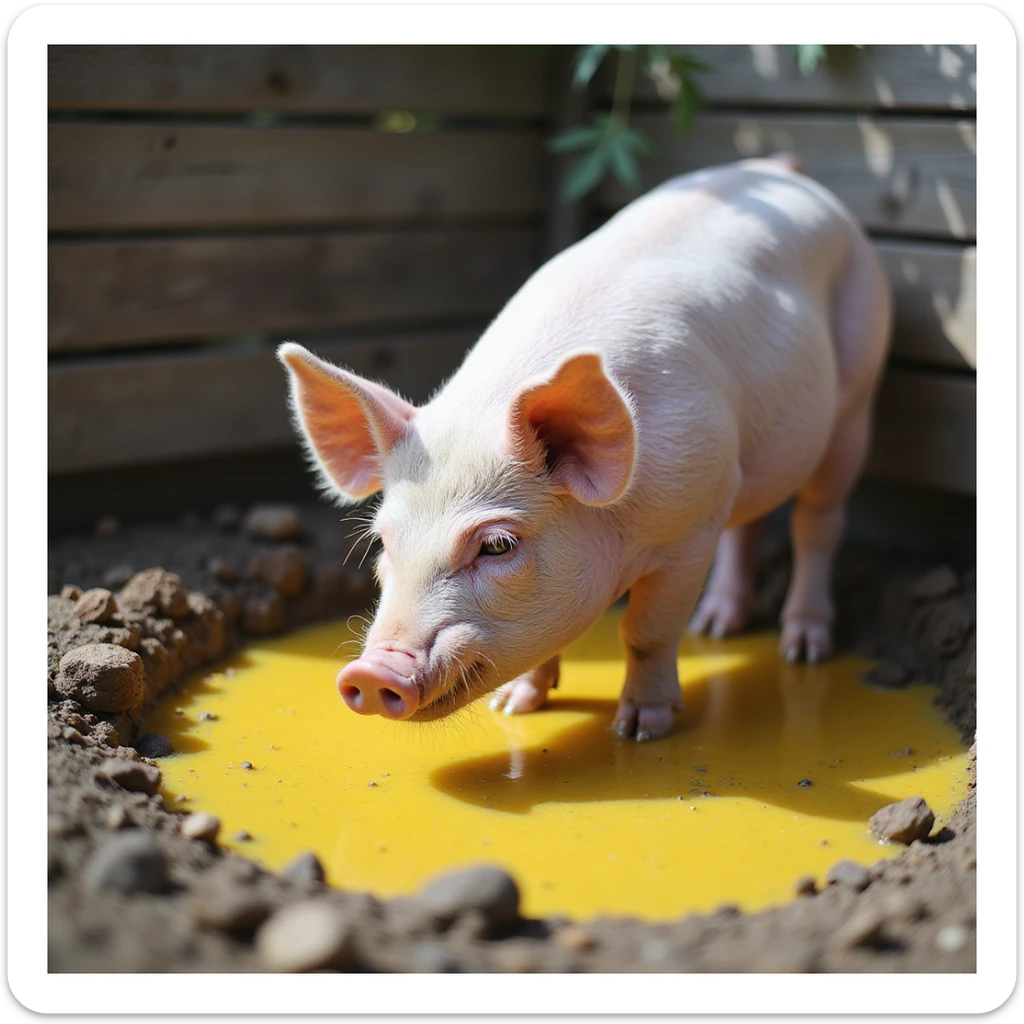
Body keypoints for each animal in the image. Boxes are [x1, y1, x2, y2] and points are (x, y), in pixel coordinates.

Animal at [278, 153, 891, 741]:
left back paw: (802, 649)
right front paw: (514, 707)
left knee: (817, 520)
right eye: (384, 541)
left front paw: (641, 730)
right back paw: (717, 627)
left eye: (497, 545)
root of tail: (782, 171)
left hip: (858, 392)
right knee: (751, 521)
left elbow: (645, 631)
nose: (369, 673)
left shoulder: (691, 523)